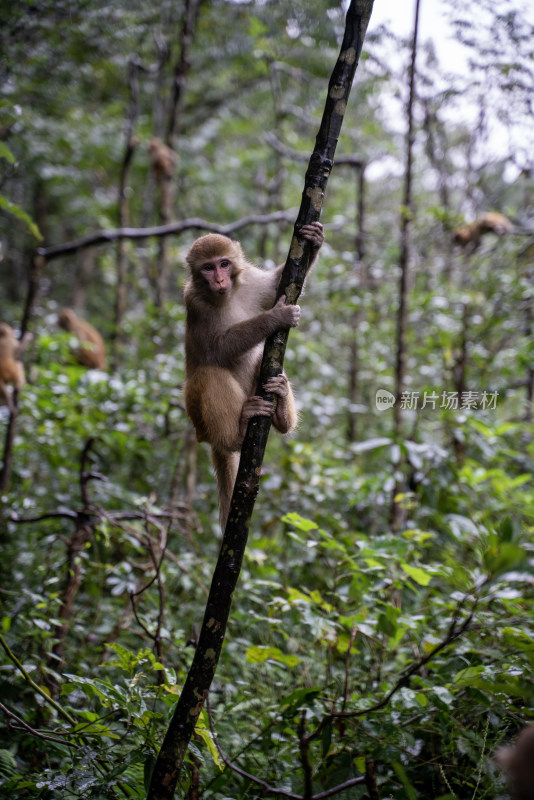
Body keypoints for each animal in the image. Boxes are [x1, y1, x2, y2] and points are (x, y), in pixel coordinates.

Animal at [184, 222, 326, 528]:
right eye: (208, 268)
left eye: (224, 264)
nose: (220, 280)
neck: (227, 295)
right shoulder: (195, 302)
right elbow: (217, 350)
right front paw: (275, 318)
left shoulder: (249, 280)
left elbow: (275, 285)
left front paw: (316, 239)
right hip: (198, 417)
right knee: (208, 373)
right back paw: (237, 435)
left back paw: (281, 413)